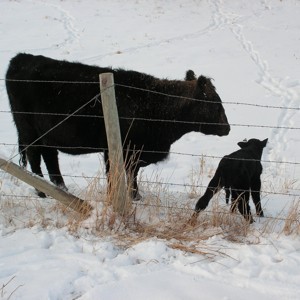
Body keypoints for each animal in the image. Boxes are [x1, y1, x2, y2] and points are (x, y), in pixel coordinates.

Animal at [4, 54, 230, 199]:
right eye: (215, 103)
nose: (227, 128)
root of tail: (20, 59)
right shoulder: (119, 149)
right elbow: (117, 174)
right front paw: (124, 196)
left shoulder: (134, 152)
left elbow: (132, 174)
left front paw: (135, 196)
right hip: (28, 130)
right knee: (35, 156)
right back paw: (42, 191)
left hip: (47, 134)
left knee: (50, 158)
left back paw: (61, 189)